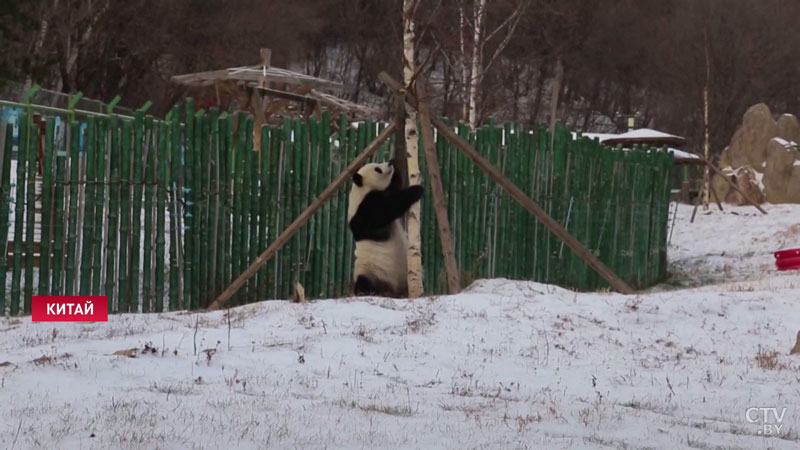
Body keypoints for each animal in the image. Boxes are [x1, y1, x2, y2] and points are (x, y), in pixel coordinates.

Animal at [348, 160, 428, 298]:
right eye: (377, 169)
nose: (389, 163)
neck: (361, 190)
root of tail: (392, 290)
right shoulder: (363, 210)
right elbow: (385, 210)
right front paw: (416, 190)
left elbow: (396, 184)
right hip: (368, 269)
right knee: (363, 281)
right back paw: (367, 292)